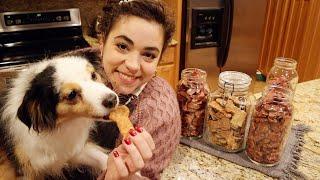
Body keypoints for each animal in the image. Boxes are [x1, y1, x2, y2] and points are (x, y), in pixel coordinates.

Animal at [0, 51, 119, 179]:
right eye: (72, 94)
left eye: (93, 75)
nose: (112, 100)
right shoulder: (26, 170)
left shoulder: (72, 151)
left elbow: (103, 158)